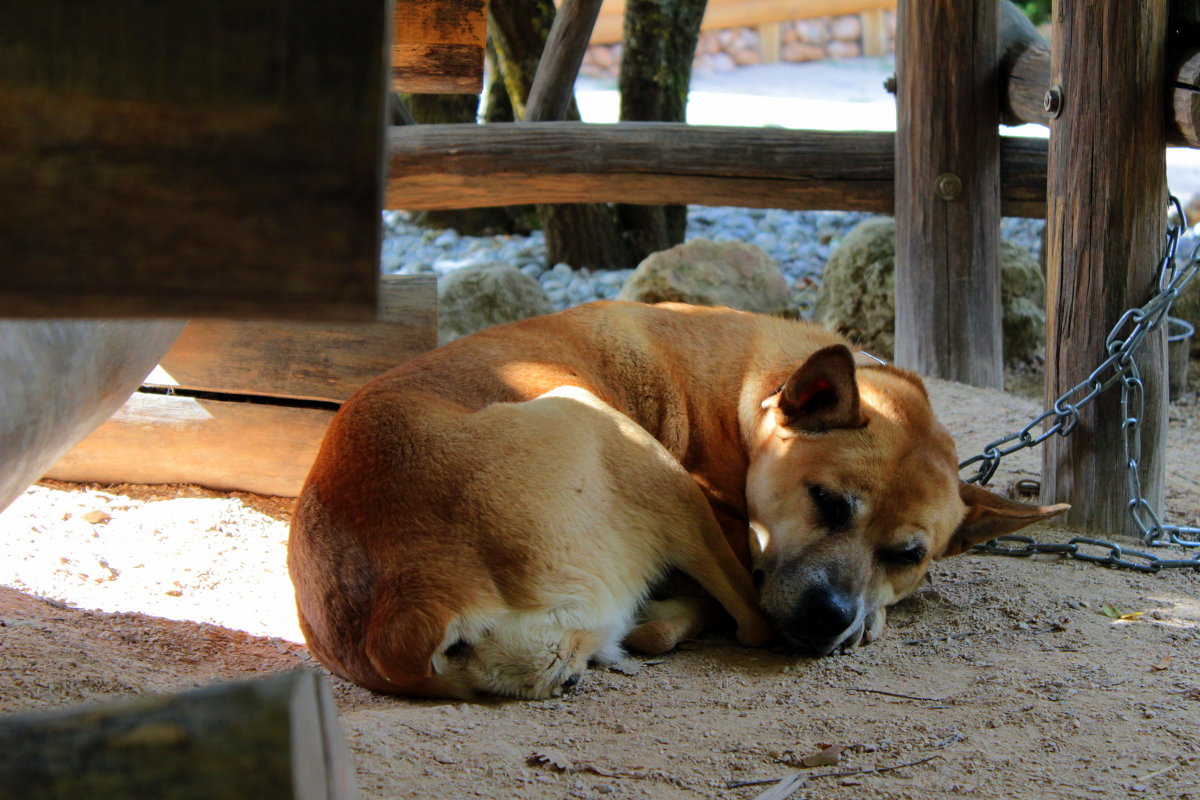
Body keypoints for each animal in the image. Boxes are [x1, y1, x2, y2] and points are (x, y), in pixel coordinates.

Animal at [288, 299, 1060, 695]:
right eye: (828, 501)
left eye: (907, 555)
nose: (828, 618)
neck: (755, 385)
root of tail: (408, 603)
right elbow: (752, 607)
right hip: (630, 447)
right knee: (746, 619)